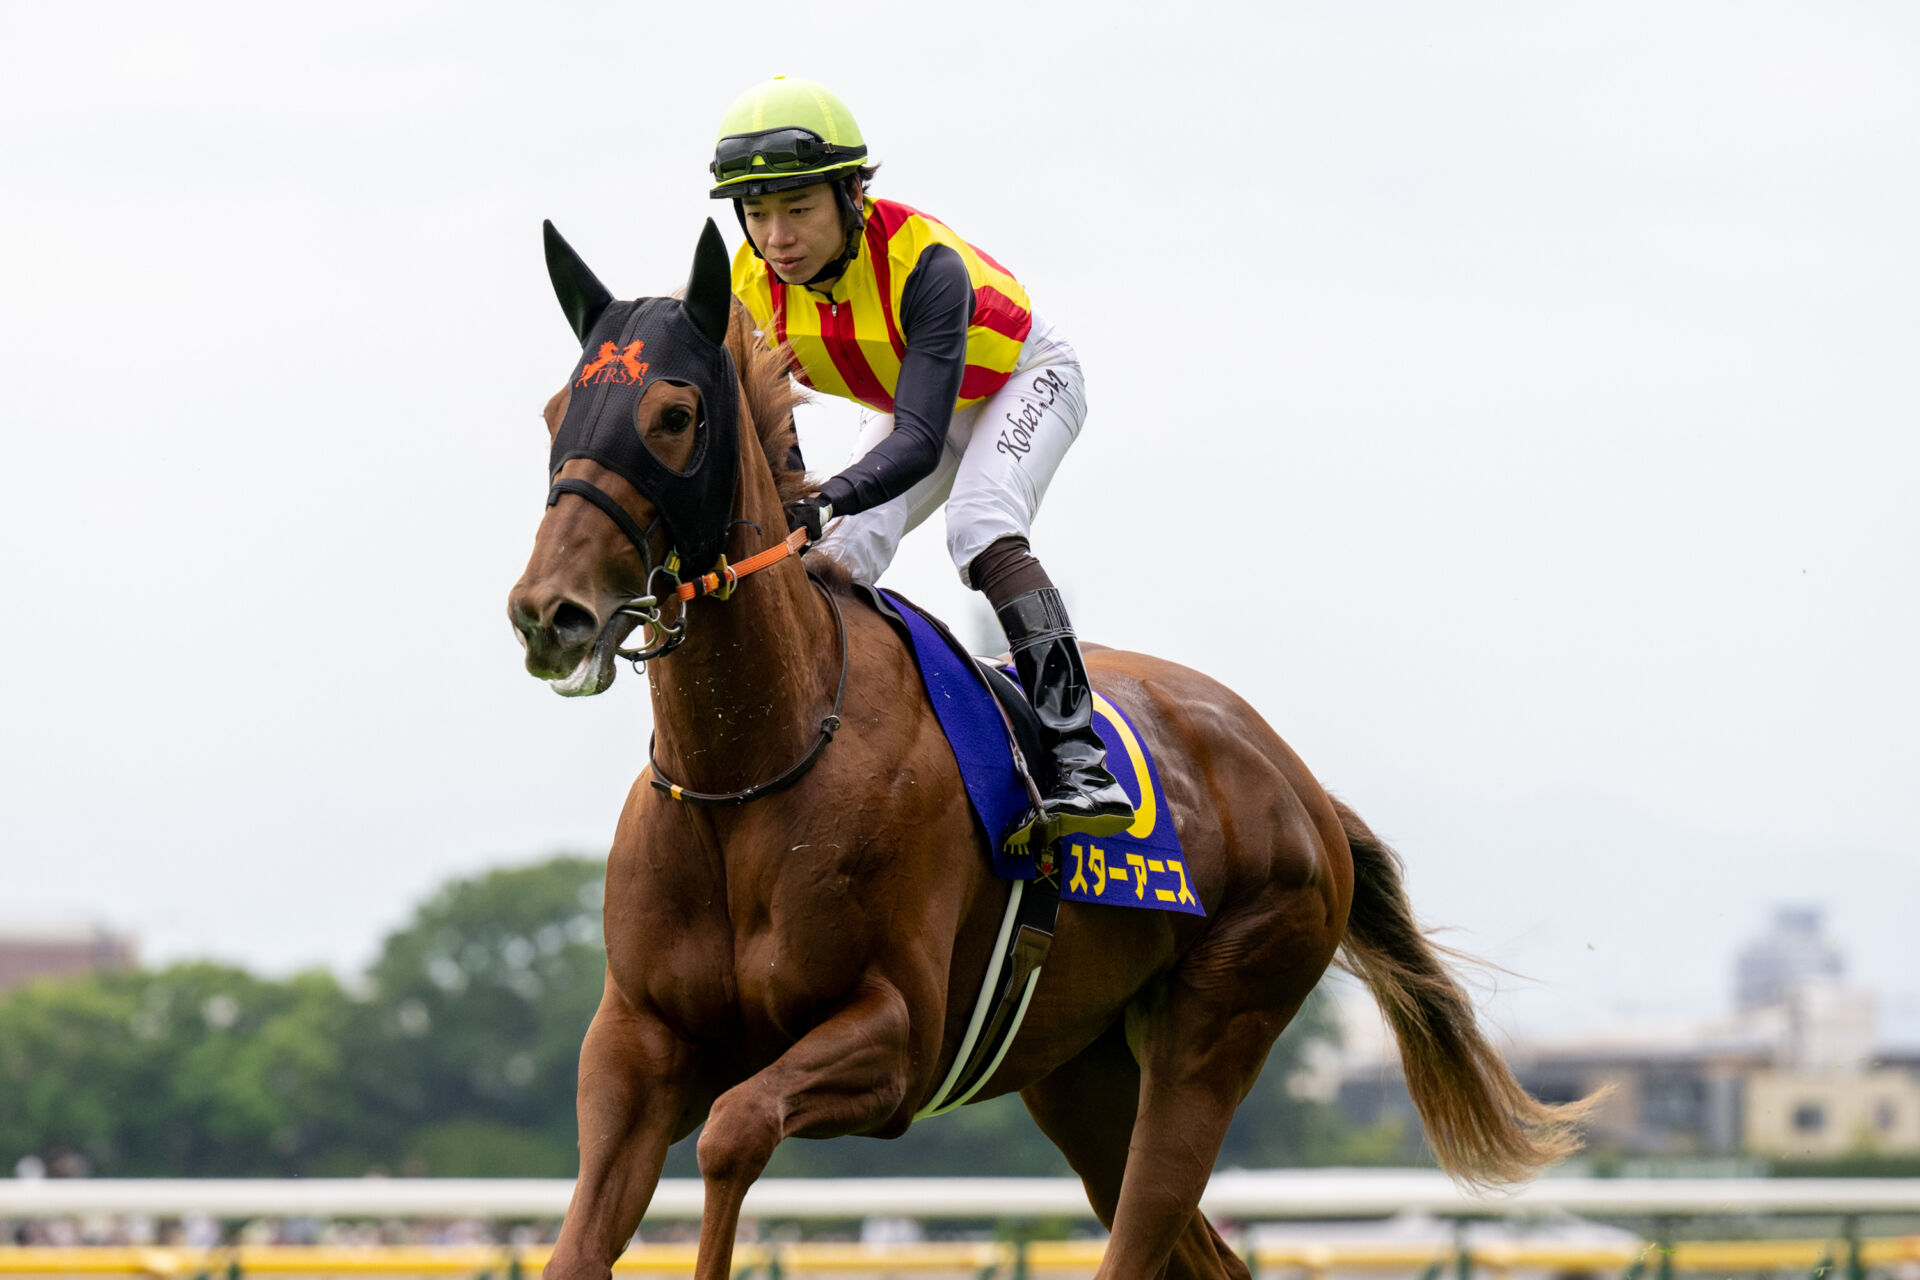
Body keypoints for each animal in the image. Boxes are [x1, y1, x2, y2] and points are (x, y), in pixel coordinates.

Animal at [505, 221, 1596, 1280]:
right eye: (559, 409)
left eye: (674, 414)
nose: (548, 611)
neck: (752, 770)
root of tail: (1300, 785)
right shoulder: (637, 1045)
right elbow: (580, 1237)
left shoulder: (895, 1037)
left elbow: (734, 1132)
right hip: (1079, 1070)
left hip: (1220, 1021)